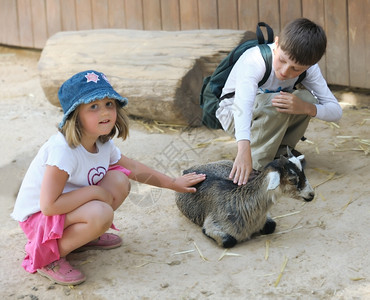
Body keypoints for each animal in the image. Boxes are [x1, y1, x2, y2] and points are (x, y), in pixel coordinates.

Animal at [176, 150, 316, 248]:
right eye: (292, 180)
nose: (311, 194)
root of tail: (188, 169)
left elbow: (271, 225)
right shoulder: (212, 223)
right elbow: (228, 240)